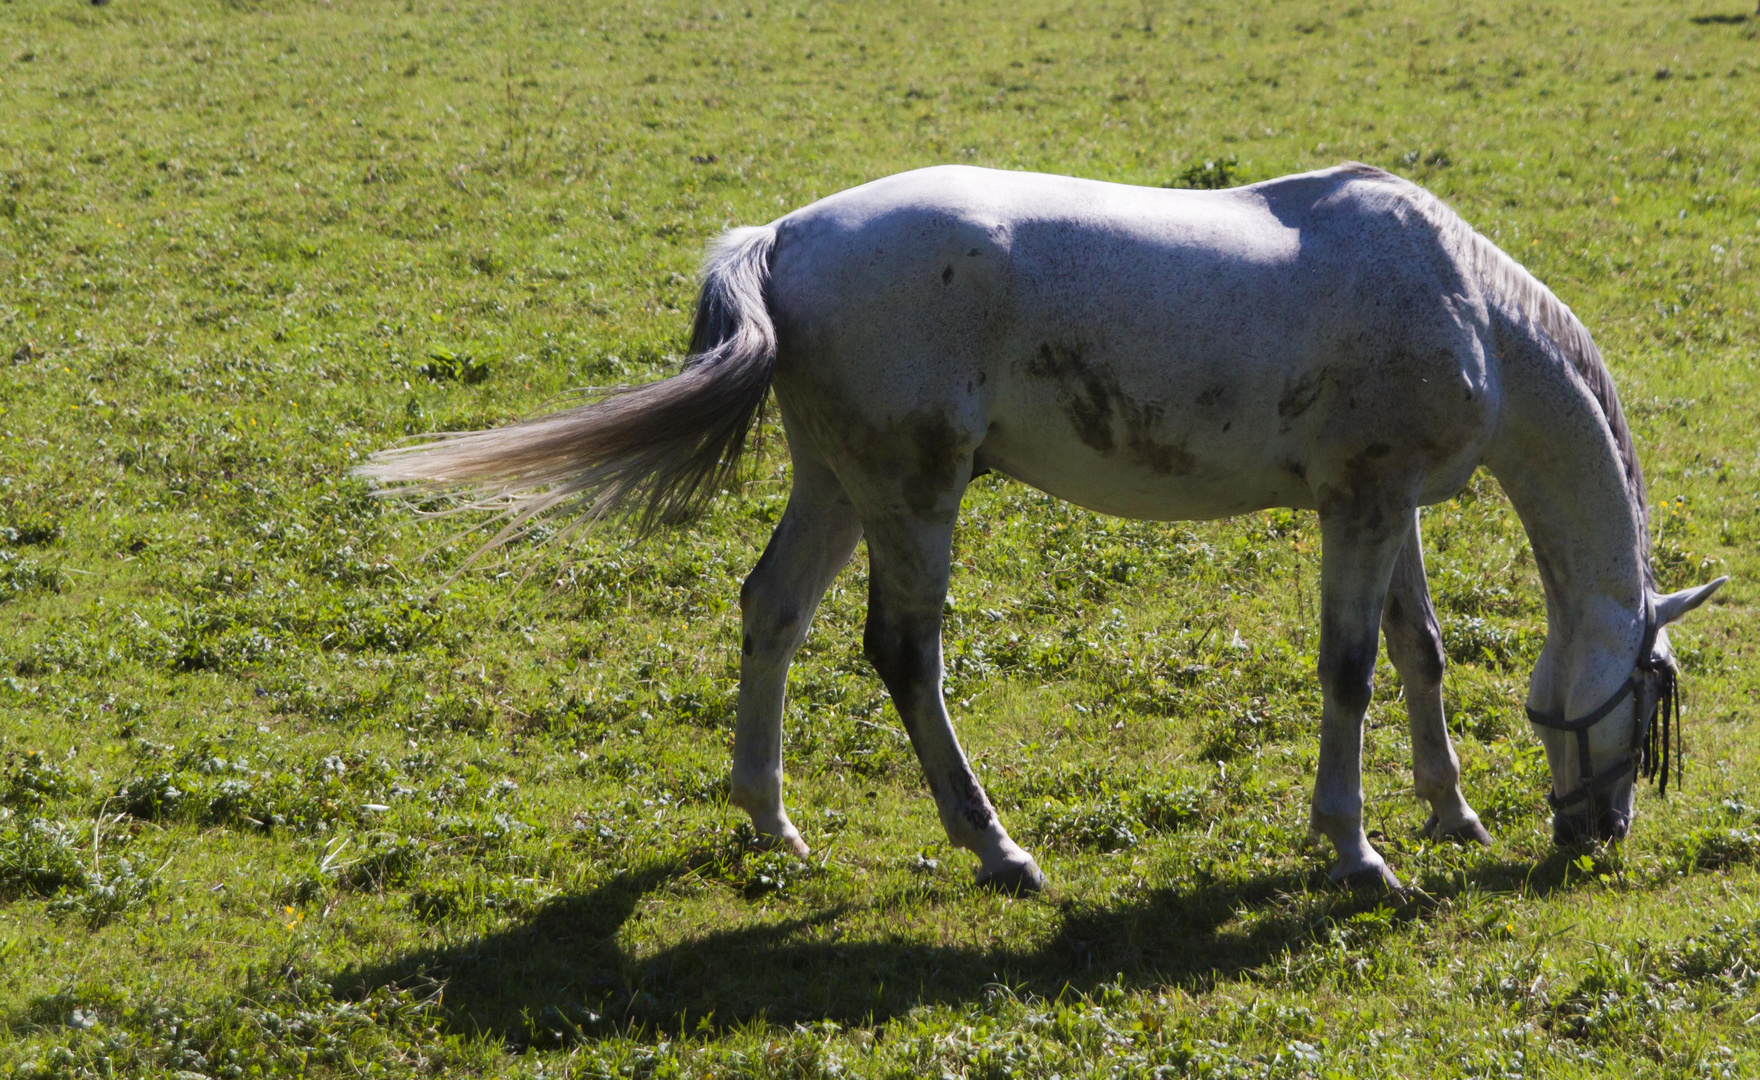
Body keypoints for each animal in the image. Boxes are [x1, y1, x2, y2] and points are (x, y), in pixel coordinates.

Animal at [364, 158, 1724, 890]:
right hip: (912, 498)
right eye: (1655, 692)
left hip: (838, 486)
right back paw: (996, 850)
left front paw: (1449, 812)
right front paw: (1355, 853)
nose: (1599, 834)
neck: (1460, 302)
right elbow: (1346, 673)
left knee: (772, 614)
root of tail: (783, 237)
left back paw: (770, 819)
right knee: (902, 657)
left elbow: (1416, 654)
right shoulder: (1362, 507)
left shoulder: (1384, 511)